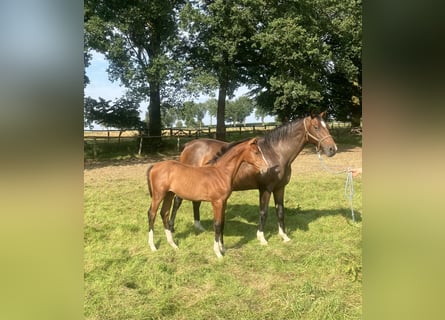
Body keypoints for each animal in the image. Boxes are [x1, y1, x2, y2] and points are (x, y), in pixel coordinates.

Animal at [170, 111, 336, 244]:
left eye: (327, 126)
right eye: (316, 127)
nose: (332, 149)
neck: (275, 153)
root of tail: (189, 145)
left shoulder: (280, 188)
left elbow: (280, 211)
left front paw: (284, 236)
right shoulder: (265, 189)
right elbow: (263, 212)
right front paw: (262, 238)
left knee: (195, 202)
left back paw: (199, 227)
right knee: (177, 202)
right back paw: (171, 229)